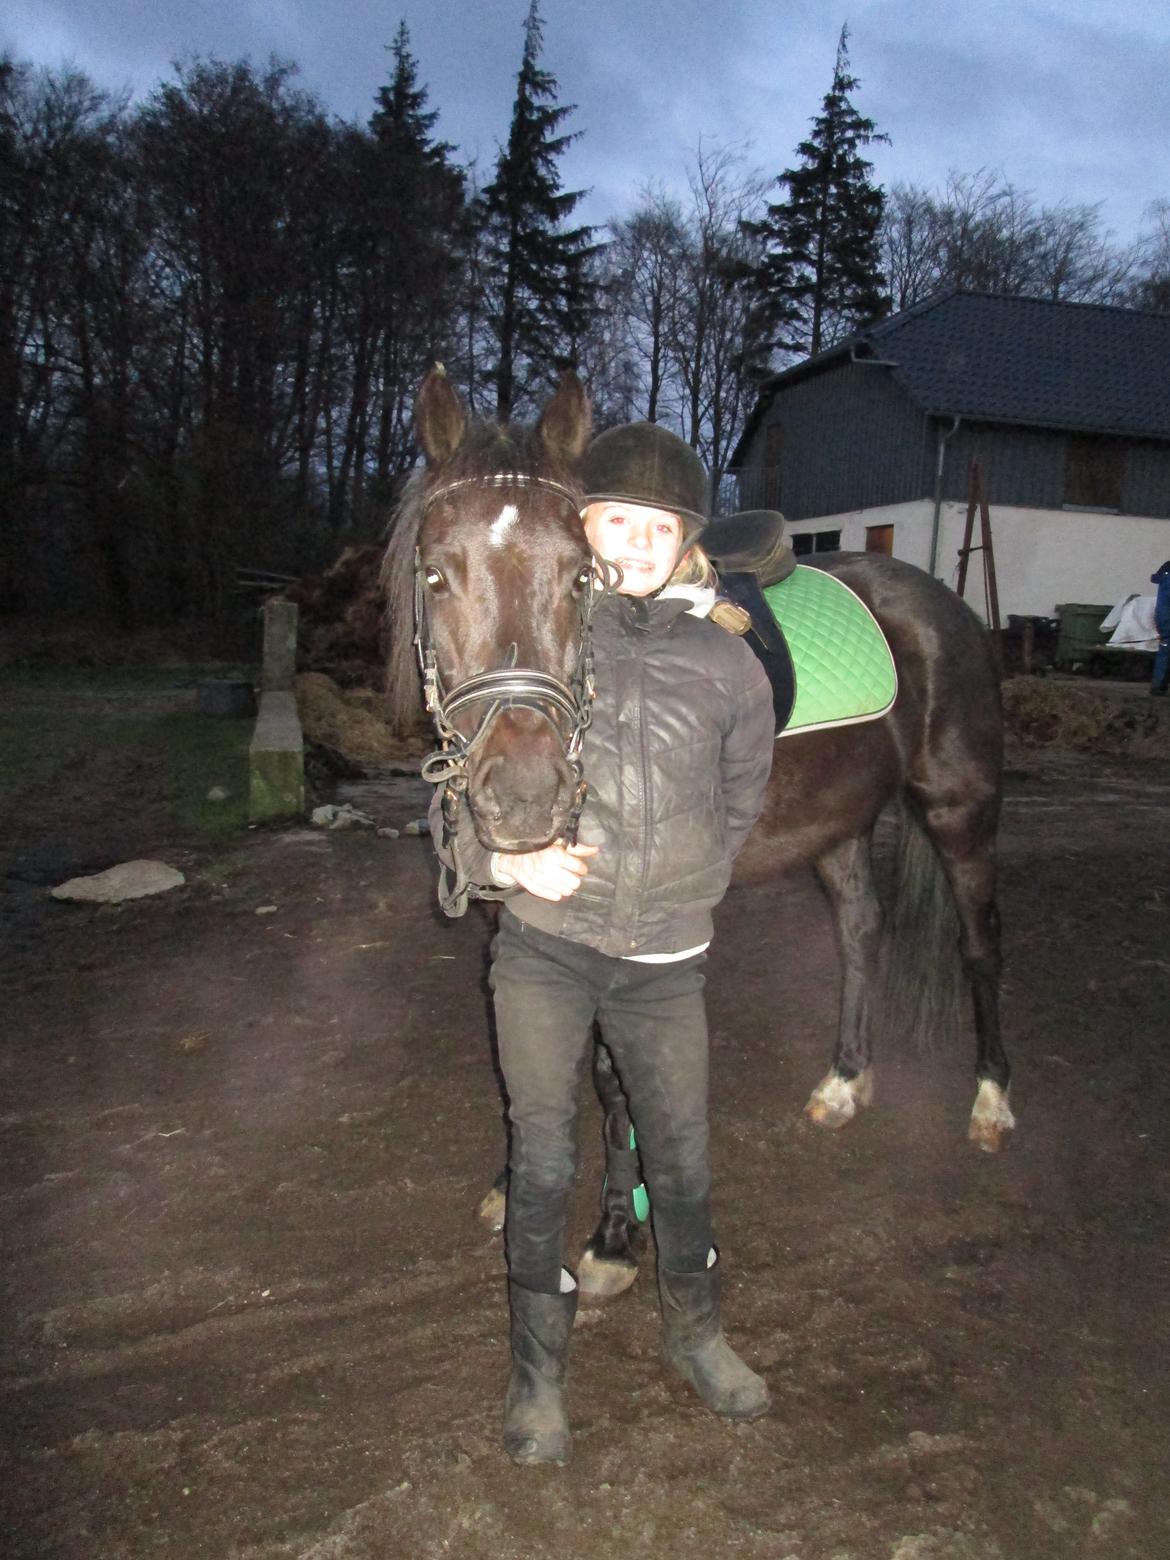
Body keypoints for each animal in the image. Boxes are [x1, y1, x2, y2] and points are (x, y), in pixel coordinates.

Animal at [385, 368, 1017, 1304]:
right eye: (434, 575)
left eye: (581, 577)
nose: (527, 796)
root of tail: (943, 604)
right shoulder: (516, 913)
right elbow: (524, 1059)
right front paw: (514, 1180)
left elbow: (611, 1077)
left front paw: (615, 1236)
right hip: (837, 824)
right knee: (862, 933)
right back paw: (845, 1081)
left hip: (959, 810)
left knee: (980, 947)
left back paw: (991, 1102)